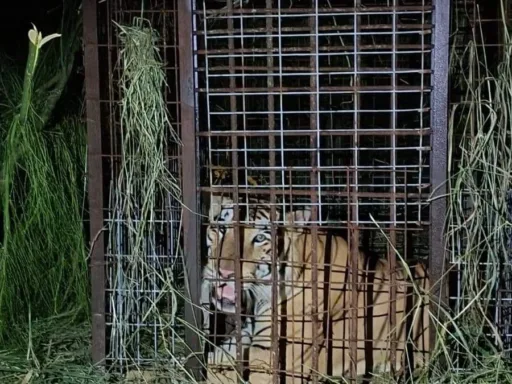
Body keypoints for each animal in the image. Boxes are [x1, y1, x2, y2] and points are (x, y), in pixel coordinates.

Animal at [202, 196, 430, 382]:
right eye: (222, 229)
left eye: (259, 238)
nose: (223, 272)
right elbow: (215, 356)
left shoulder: (270, 358)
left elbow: (217, 370)